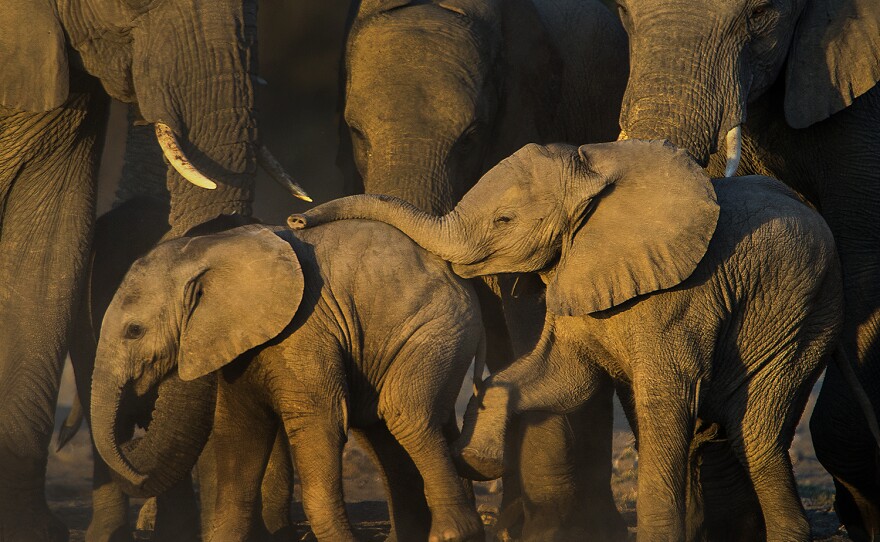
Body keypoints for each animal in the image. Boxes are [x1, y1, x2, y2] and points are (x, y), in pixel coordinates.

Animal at [90, 221, 485, 542]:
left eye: (134, 331)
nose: (131, 435)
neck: (211, 247)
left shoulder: (303, 329)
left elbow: (319, 422)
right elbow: (239, 434)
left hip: (439, 328)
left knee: (404, 414)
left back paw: (453, 534)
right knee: (382, 434)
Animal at [288, 138, 879, 540]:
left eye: (504, 220)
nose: (294, 218)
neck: (595, 168)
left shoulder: (682, 297)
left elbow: (665, 400)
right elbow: (561, 379)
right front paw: (475, 459)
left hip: (806, 313)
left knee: (754, 429)